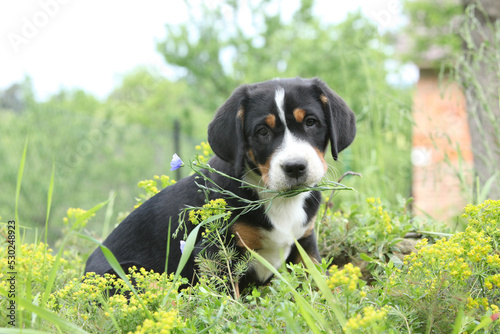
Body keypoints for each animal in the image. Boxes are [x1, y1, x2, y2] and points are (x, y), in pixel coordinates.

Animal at [84, 77, 356, 292]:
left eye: (310, 122)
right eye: (262, 132)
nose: (295, 167)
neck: (279, 199)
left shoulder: (304, 244)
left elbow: (317, 285)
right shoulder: (217, 251)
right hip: (129, 274)